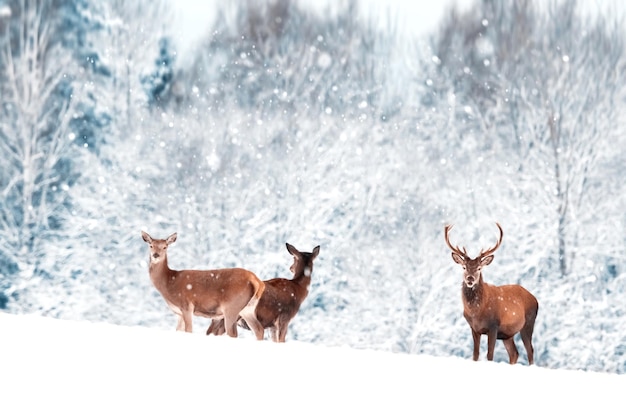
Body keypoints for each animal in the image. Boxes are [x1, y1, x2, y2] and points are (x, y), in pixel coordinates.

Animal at [442, 223, 540, 362]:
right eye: (464, 267)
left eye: (479, 268)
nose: (470, 279)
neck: (476, 312)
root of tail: (535, 299)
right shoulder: (474, 328)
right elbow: (475, 355)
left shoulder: (493, 326)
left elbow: (490, 355)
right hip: (507, 334)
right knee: (514, 353)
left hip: (528, 323)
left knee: (530, 350)